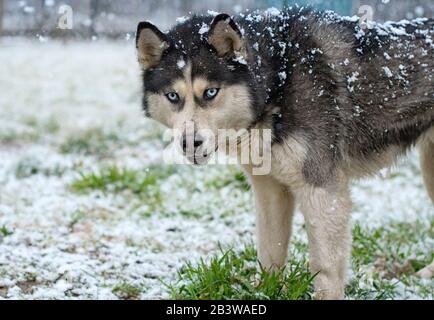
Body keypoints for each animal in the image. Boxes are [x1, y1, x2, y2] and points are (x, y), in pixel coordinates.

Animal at [136, 7, 434, 300]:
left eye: (210, 92)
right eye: (173, 96)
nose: (190, 142)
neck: (278, 82)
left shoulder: (323, 190)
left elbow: (326, 269)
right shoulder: (270, 190)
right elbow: (270, 252)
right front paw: (264, 292)